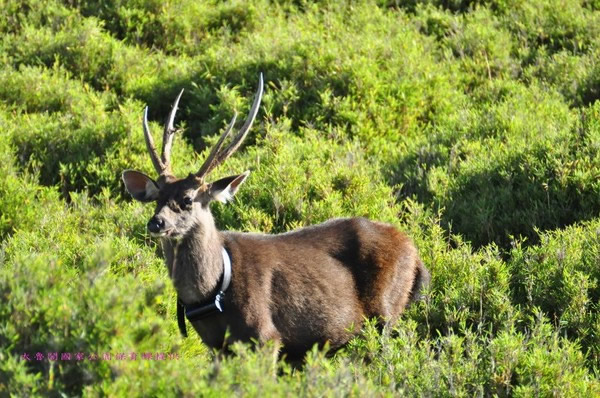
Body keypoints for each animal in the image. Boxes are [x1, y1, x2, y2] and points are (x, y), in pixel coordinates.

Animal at [123, 74, 432, 360]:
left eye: (188, 199)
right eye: (157, 198)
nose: (156, 222)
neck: (215, 291)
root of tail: (415, 252)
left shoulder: (265, 336)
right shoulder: (216, 347)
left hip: (386, 312)